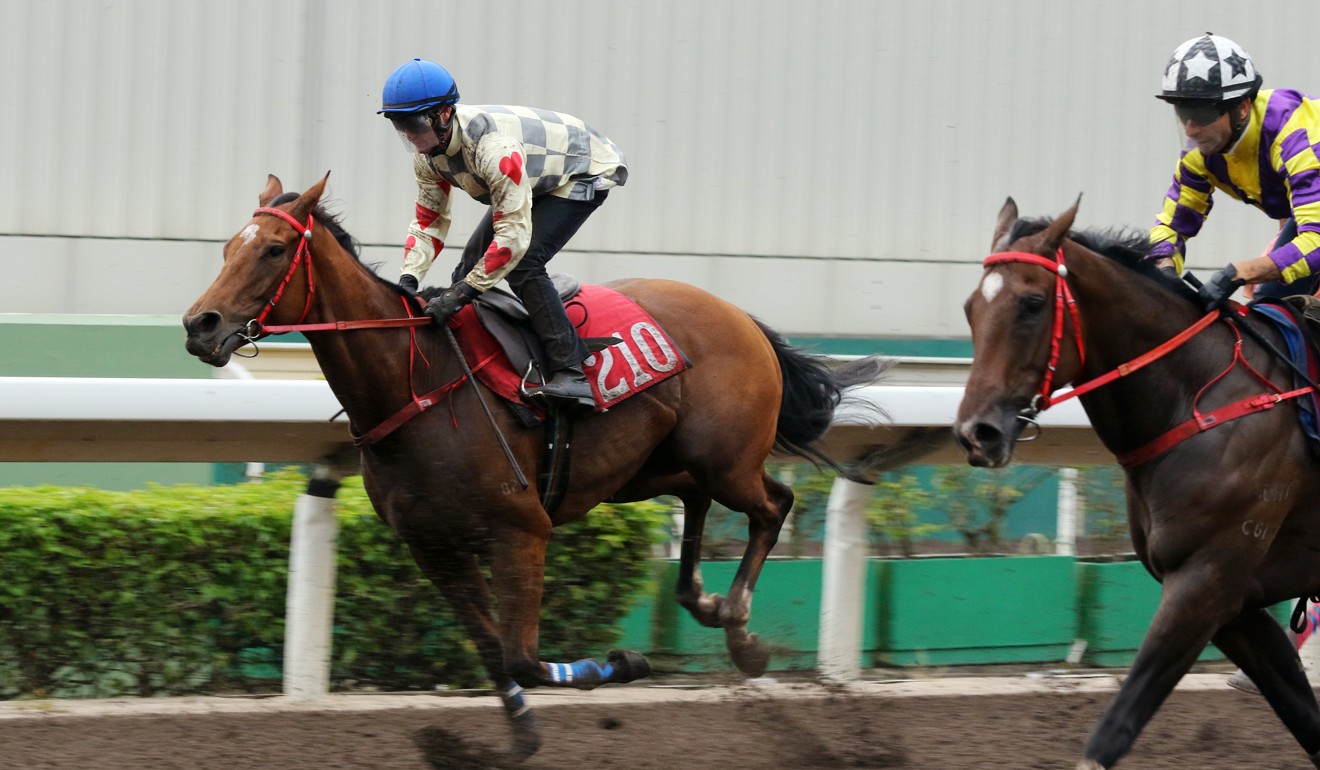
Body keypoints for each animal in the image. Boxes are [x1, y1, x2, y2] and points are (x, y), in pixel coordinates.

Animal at [183, 174, 887, 760]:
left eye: (275, 250)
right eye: (227, 248)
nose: (200, 325)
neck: (418, 384)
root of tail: (741, 317)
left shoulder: (519, 529)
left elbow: (522, 658)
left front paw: (624, 665)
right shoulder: (433, 545)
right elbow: (494, 653)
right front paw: (514, 740)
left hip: (723, 459)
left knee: (772, 505)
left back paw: (741, 631)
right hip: (654, 469)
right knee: (702, 506)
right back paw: (707, 603)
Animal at [955, 195, 1320, 766]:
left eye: (1032, 303)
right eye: (972, 307)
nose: (977, 433)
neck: (1197, 401)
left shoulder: (1206, 580)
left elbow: (1115, 729)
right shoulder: (1237, 604)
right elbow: (1305, 717)